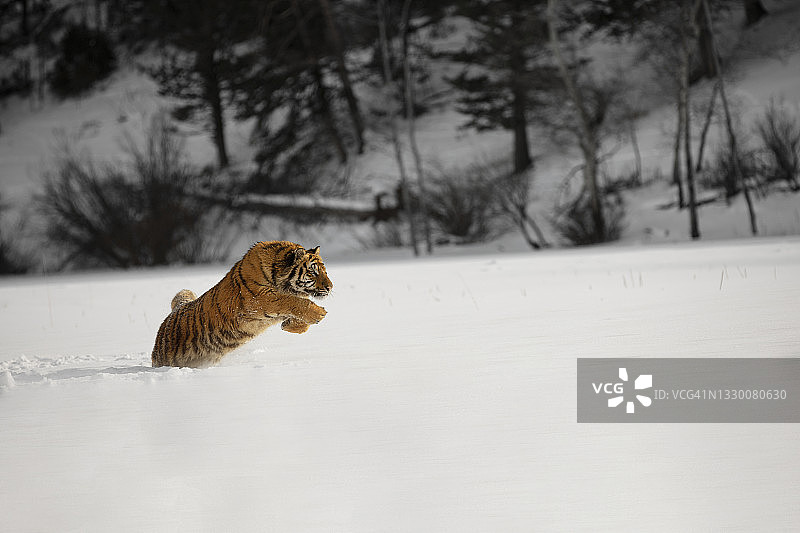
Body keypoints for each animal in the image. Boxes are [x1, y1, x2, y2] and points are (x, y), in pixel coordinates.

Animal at [151, 241, 332, 368]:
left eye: (324, 271)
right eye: (313, 272)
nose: (330, 287)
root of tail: (174, 312)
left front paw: (292, 326)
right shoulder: (259, 299)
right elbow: (292, 301)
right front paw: (319, 313)